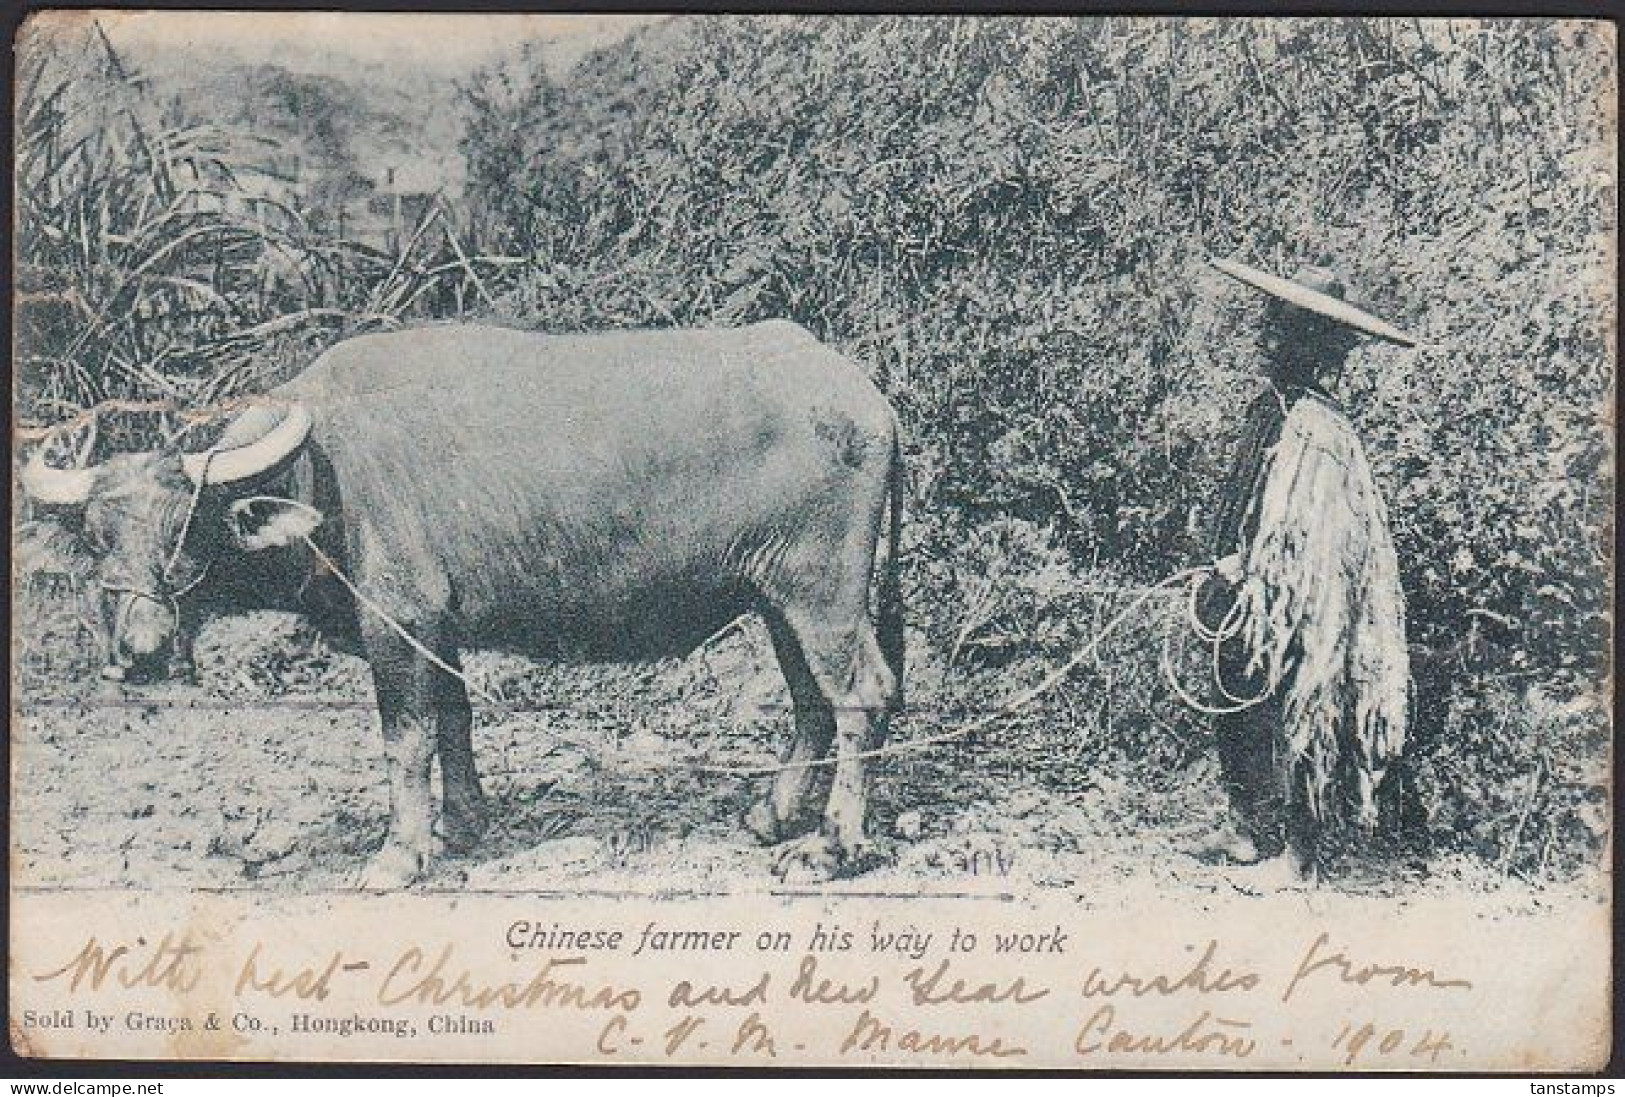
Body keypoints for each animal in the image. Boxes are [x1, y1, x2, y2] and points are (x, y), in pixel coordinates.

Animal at [25, 321, 910, 890]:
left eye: (189, 527)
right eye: (96, 538)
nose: (140, 652)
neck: (323, 476)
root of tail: (867, 397)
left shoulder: (397, 623)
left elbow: (406, 738)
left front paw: (398, 853)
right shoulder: (439, 630)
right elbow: (454, 718)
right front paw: (461, 824)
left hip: (822, 587)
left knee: (862, 693)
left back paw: (831, 846)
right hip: (776, 593)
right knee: (810, 698)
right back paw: (774, 815)